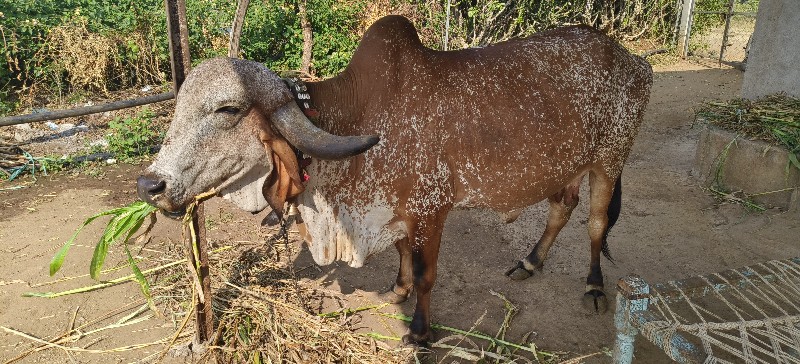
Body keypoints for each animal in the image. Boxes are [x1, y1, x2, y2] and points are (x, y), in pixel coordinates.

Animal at [136, 15, 648, 346]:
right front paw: (396, 290)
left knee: (595, 224)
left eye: (228, 110)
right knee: (562, 206)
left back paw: (594, 287)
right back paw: (530, 261)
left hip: (610, 160)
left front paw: (419, 332)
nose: (149, 185)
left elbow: (425, 274)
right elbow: (402, 256)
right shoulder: (396, 212)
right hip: (568, 165)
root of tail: (631, 60)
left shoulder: (430, 210)